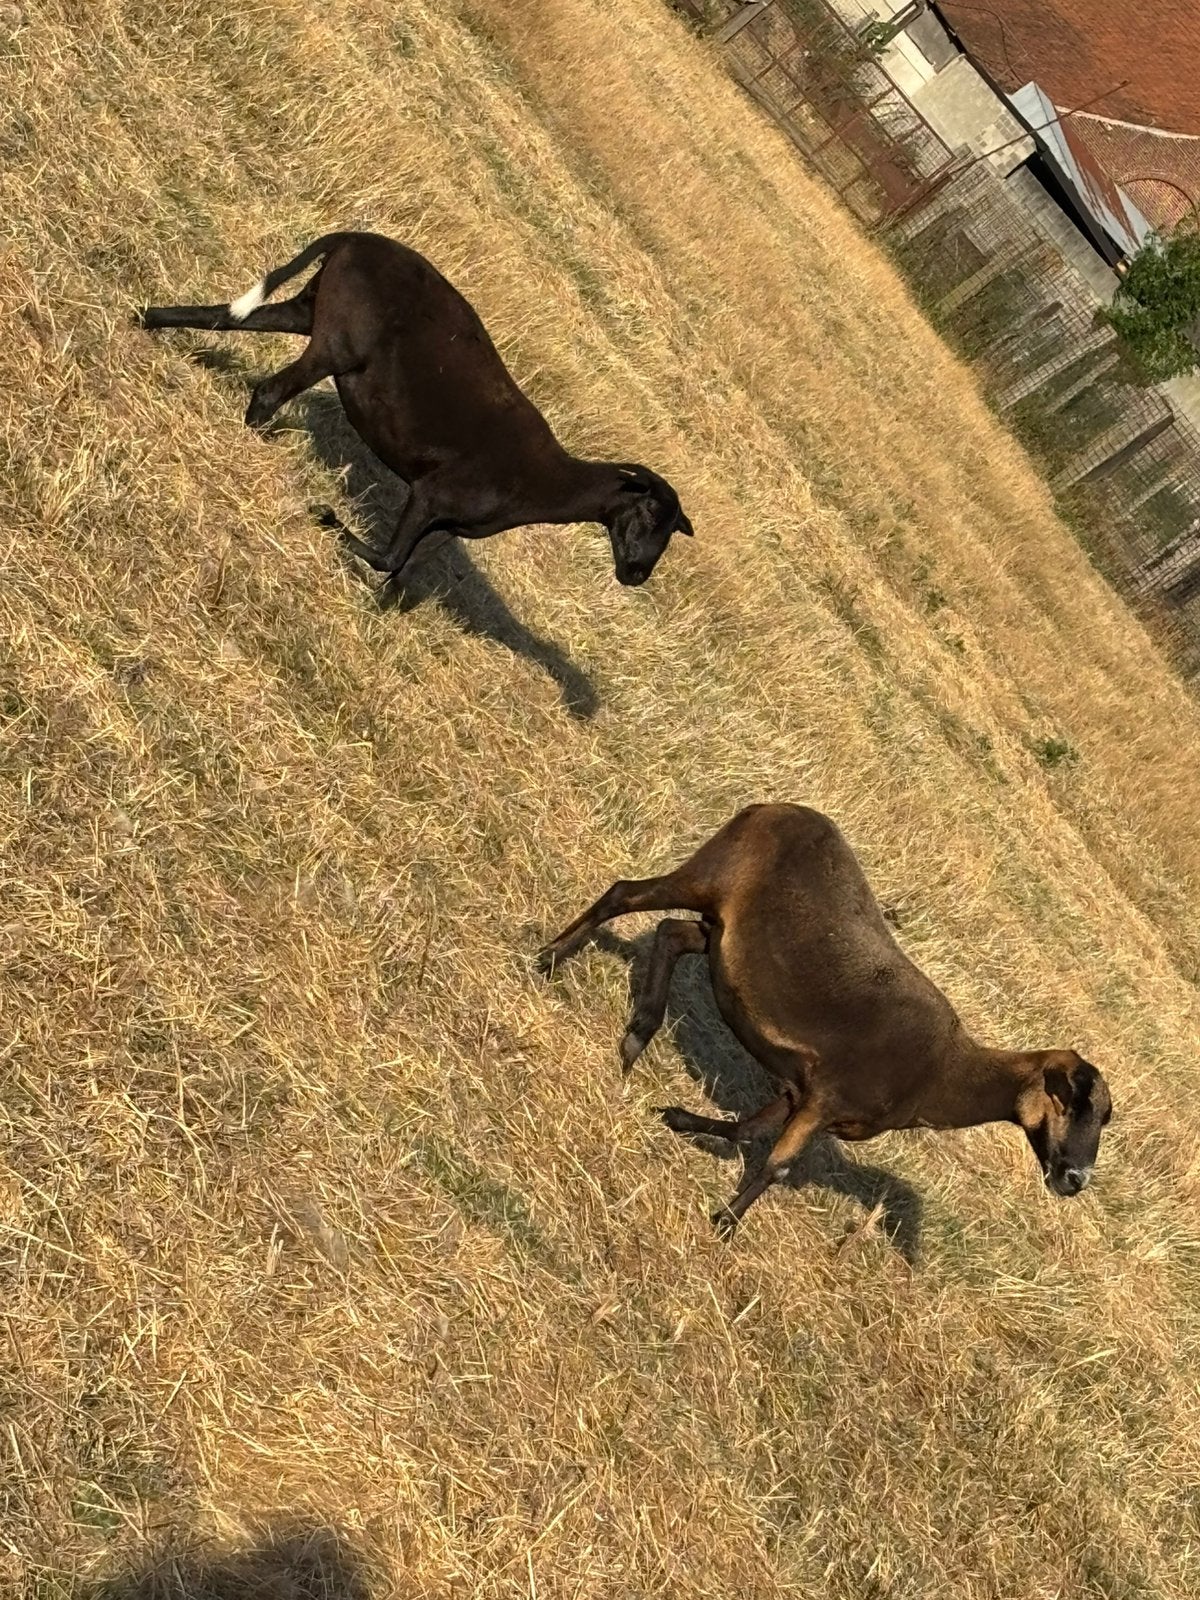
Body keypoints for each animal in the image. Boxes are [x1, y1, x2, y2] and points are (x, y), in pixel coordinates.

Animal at [137, 231, 693, 586]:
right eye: (649, 510)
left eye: (673, 530)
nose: (636, 574)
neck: (543, 479)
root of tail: (354, 239)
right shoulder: (432, 494)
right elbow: (389, 559)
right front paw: (324, 517)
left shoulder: (445, 524)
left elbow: (402, 570)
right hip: (338, 342)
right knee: (270, 392)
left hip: (310, 309)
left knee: (224, 317)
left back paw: (147, 318)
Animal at [537, 803, 1113, 1237]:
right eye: (1070, 1099)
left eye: (1105, 1117)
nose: (1076, 1179)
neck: (941, 1073)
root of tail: (775, 806)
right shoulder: (827, 1095)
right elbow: (778, 1162)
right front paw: (725, 1224)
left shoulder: (804, 1090)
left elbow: (750, 1129)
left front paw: (679, 1121)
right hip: (708, 875)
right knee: (625, 894)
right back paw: (549, 959)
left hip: (720, 930)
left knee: (671, 934)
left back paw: (634, 1040)